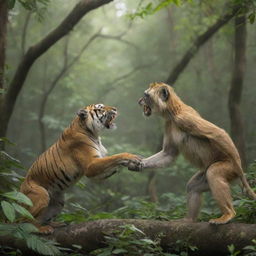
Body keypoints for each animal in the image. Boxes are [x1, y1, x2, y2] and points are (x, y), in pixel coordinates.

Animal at [20, 103, 142, 233]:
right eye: (100, 108)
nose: (115, 109)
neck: (94, 134)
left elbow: (111, 162)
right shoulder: (91, 165)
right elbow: (116, 156)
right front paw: (132, 157)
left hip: (58, 202)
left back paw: (55, 224)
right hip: (42, 194)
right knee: (23, 221)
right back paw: (42, 229)